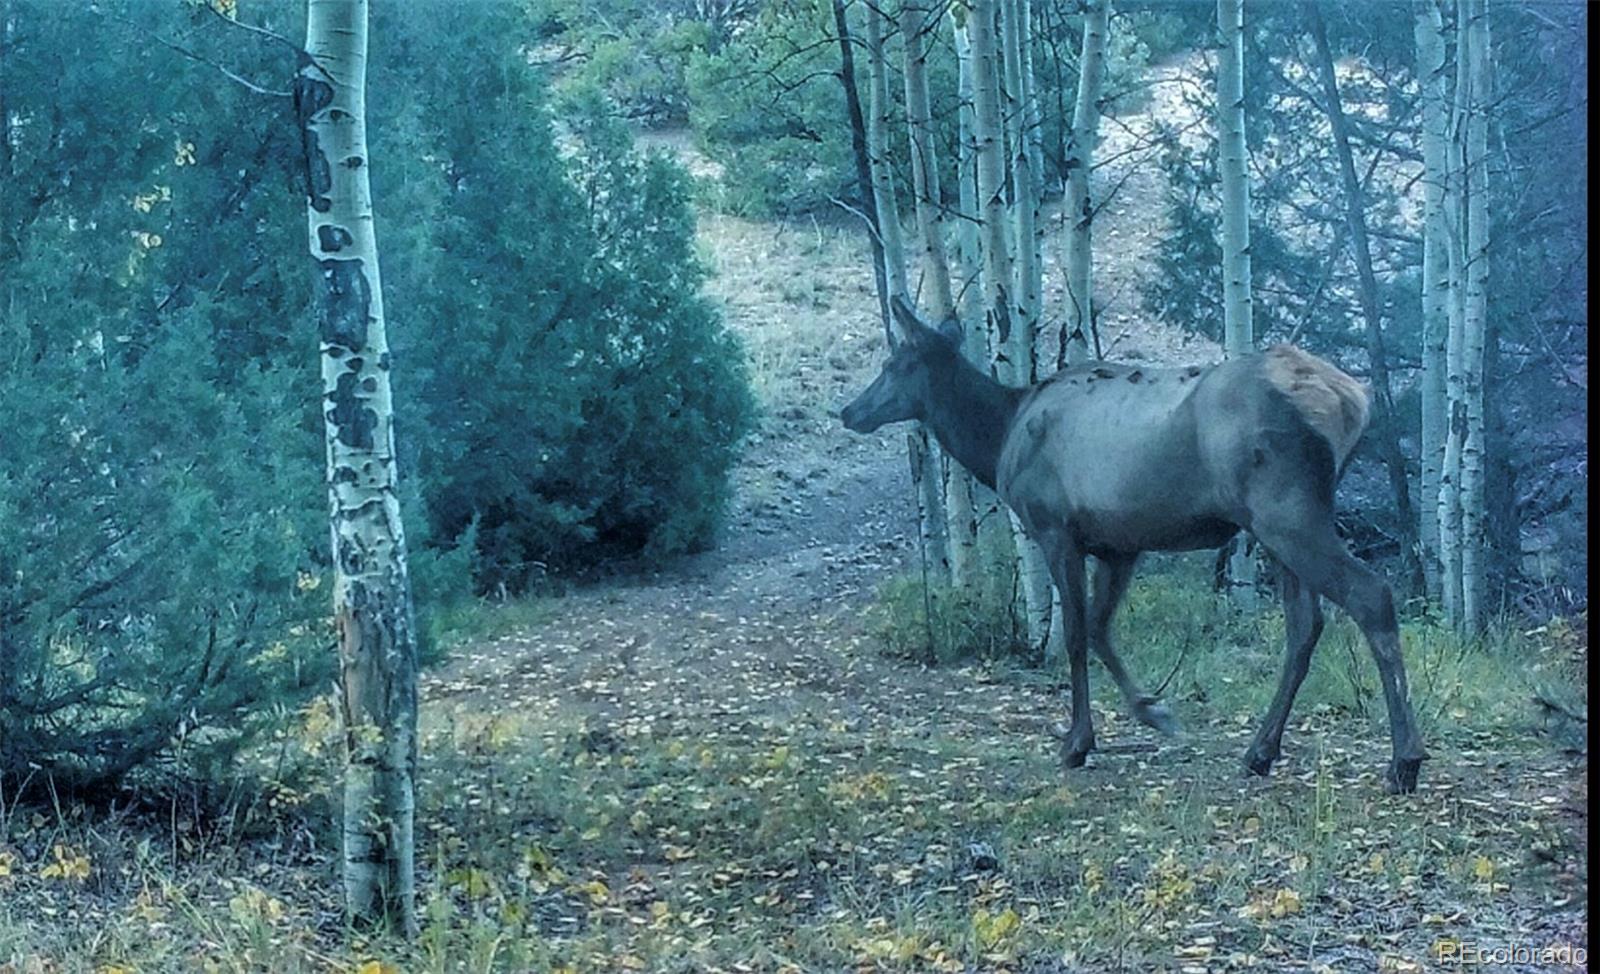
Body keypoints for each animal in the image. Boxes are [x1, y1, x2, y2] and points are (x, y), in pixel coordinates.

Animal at [844, 300, 1433, 793]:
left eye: (894, 362)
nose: (849, 411)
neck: (999, 439)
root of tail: (1352, 401)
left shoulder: (1055, 526)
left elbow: (1074, 635)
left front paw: (1077, 742)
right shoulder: (1118, 545)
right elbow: (1101, 629)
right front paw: (1154, 709)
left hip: (1285, 512)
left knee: (1371, 596)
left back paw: (1403, 761)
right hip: (1278, 526)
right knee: (1304, 624)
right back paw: (1260, 751)